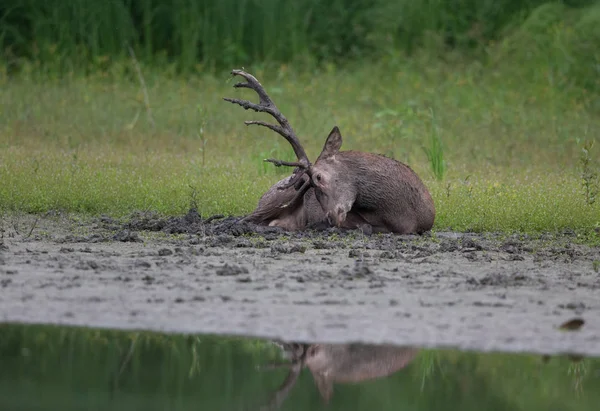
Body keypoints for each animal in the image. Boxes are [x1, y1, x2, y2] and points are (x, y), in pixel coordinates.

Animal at [225, 69, 436, 233]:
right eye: (311, 186)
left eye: (318, 177)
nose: (331, 218)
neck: (402, 214)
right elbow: (366, 226)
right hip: (274, 199)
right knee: (245, 219)